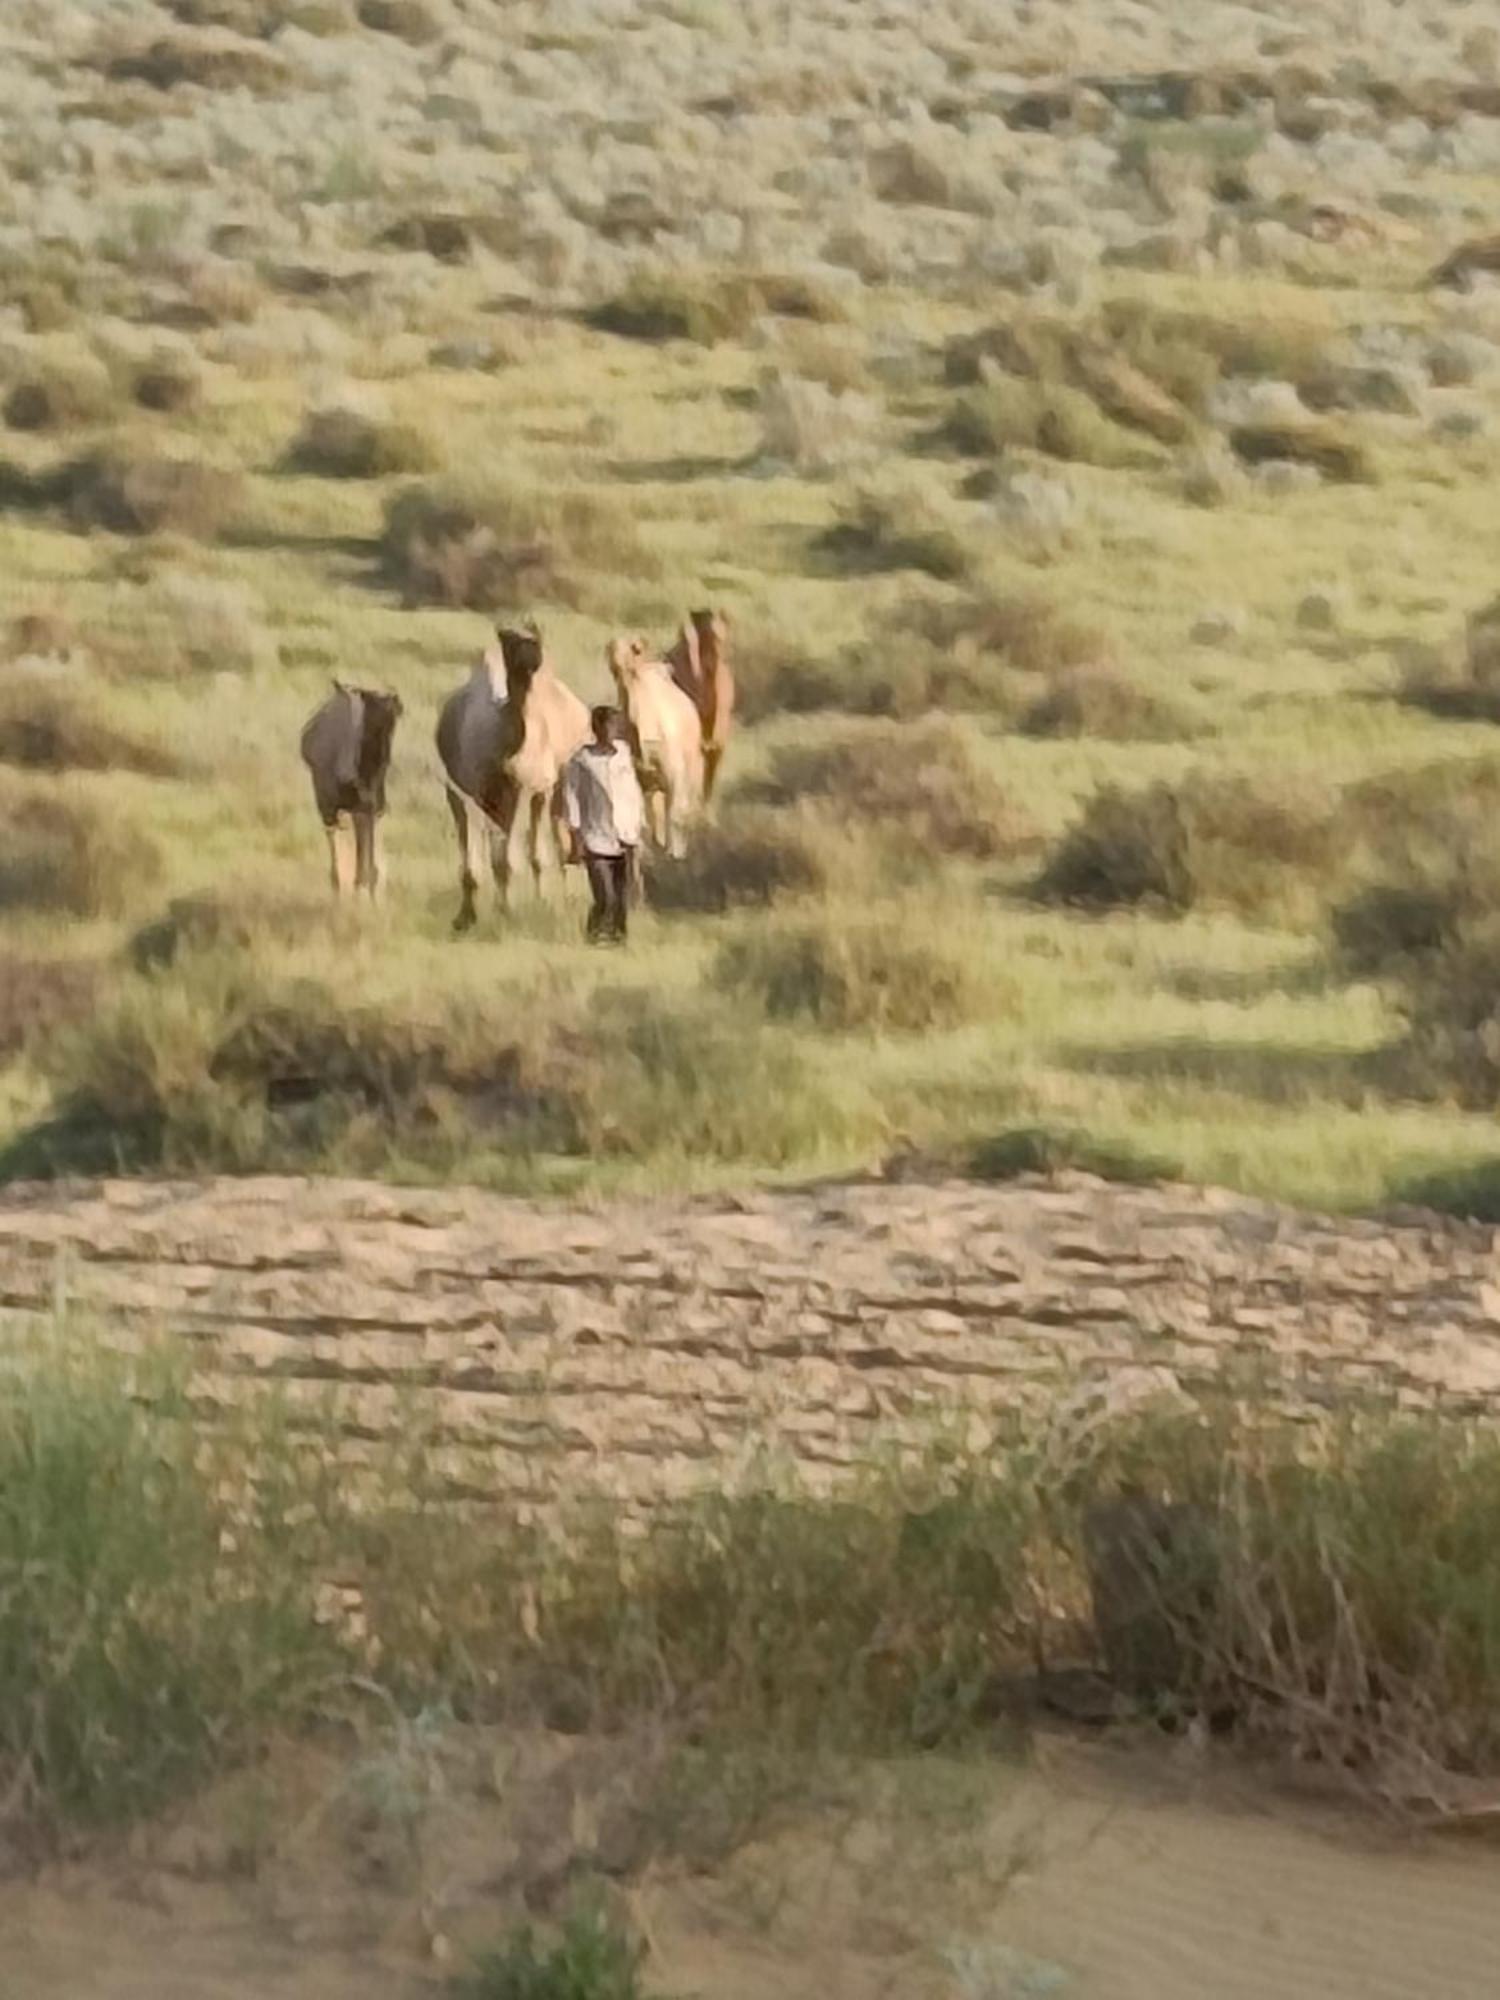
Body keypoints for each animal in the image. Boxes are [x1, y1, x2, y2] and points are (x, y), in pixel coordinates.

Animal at [300, 688, 402, 908]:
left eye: (390, 725)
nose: (347, 775)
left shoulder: (370, 805)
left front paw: (372, 895)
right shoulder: (338, 806)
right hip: (332, 806)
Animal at [434, 620, 588, 932]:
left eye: (535, 639)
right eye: (510, 643)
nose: (535, 660)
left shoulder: (527, 787)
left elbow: (513, 857)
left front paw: (509, 911)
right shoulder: (469, 791)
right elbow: (484, 861)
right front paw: (468, 916)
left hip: (553, 786)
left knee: (553, 841)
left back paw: (553, 901)